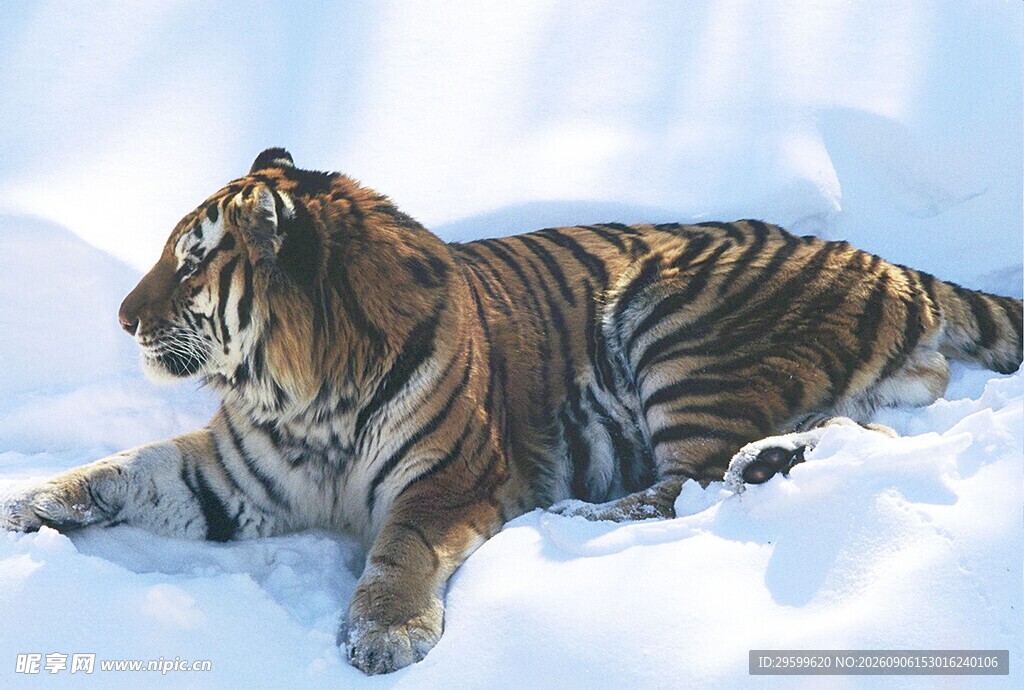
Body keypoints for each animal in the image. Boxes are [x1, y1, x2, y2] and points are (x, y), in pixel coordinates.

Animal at [1, 148, 1020, 674]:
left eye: (190, 264)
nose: (121, 316)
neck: (303, 396)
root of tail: (880, 261)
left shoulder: (448, 479)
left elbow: (399, 548)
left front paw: (384, 633)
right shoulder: (230, 476)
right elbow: (117, 472)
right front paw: (23, 505)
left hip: (676, 326)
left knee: (691, 483)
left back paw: (584, 510)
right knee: (851, 431)